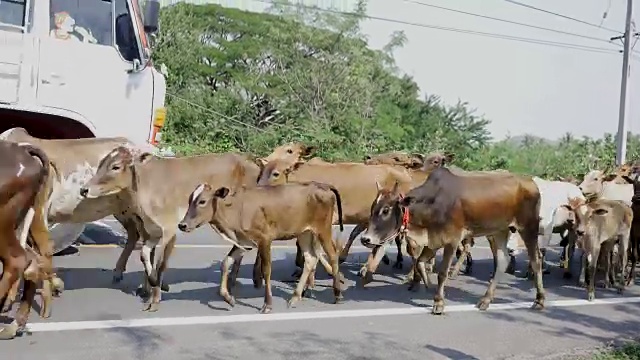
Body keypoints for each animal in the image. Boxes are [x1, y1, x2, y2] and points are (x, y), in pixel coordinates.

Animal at [175, 181, 344, 314]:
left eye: (202, 201)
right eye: (189, 200)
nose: (182, 225)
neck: (237, 210)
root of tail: (322, 185)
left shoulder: (265, 240)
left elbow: (266, 270)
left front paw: (267, 304)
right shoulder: (243, 242)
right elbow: (225, 263)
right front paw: (228, 297)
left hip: (323, 229)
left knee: (333, 255)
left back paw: (337, 294)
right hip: (304, 233)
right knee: (310, 258)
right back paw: (295, 297)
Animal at [360, 167, 544, 316]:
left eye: (386, 210)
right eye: (373, 209)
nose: (365, 239)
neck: (432, 202)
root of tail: (531, 182)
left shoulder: (452, 240)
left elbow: (442, 273)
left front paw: (438, 302)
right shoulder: (433, 240)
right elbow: (420, 262)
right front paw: (427, 285)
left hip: (529, 227)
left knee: (536, 259)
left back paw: (539, 300)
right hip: (499, 231)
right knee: (503, 259)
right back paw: (485, 300)